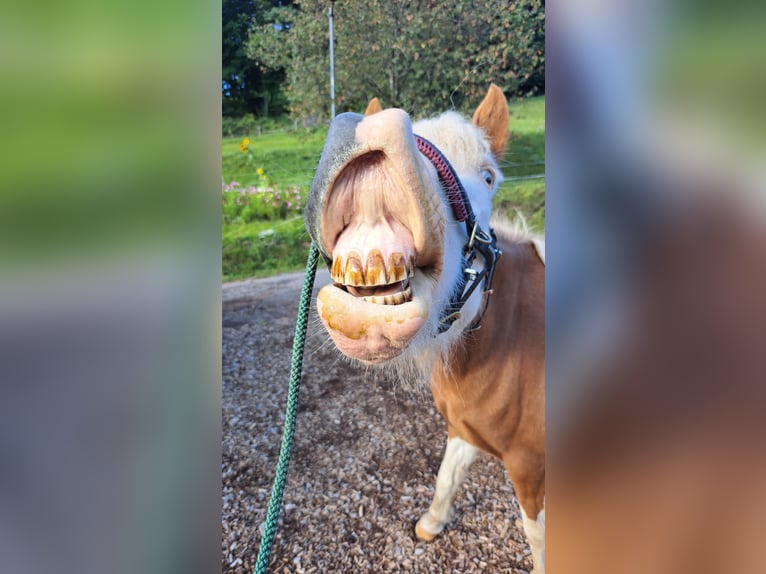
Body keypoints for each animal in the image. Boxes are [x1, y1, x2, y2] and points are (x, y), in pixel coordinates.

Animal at [304, 85, 545, 572]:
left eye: (489, 177)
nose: (369, 134)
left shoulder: (532, 467)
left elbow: (537, 535)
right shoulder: (465, 429)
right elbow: (446, 477)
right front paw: (432, 524)